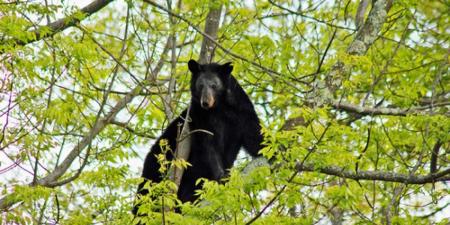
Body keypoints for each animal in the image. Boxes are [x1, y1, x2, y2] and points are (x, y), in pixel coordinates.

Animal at [132, 59, 262, 214]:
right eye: (200, 85)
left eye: (214, 85)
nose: (205, 102)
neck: (219, 108)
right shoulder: (199, 117)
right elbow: (207, 145)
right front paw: (221, 176)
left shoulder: (242, 111)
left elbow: (253, 135)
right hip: (157, 164)